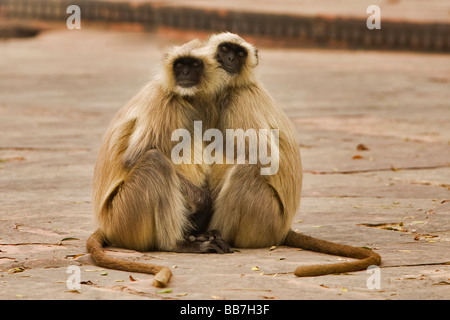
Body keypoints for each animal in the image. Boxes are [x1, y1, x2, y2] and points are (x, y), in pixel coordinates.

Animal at [86, 39, 232, 288]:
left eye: (194, 65)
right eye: (180, 65)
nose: (185, 73)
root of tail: (106, 224)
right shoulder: (164, 102)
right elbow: (136, 157)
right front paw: (203, 206)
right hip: (125, 216)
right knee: (155, 161)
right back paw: (178, 244)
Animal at [202, 33, 382, 278]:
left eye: (239, 54)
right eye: (225, 49)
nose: (230, 58)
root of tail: (284, 229)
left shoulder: (239, 101)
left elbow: (265, 158)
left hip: (266, 221)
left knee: (245, 170)